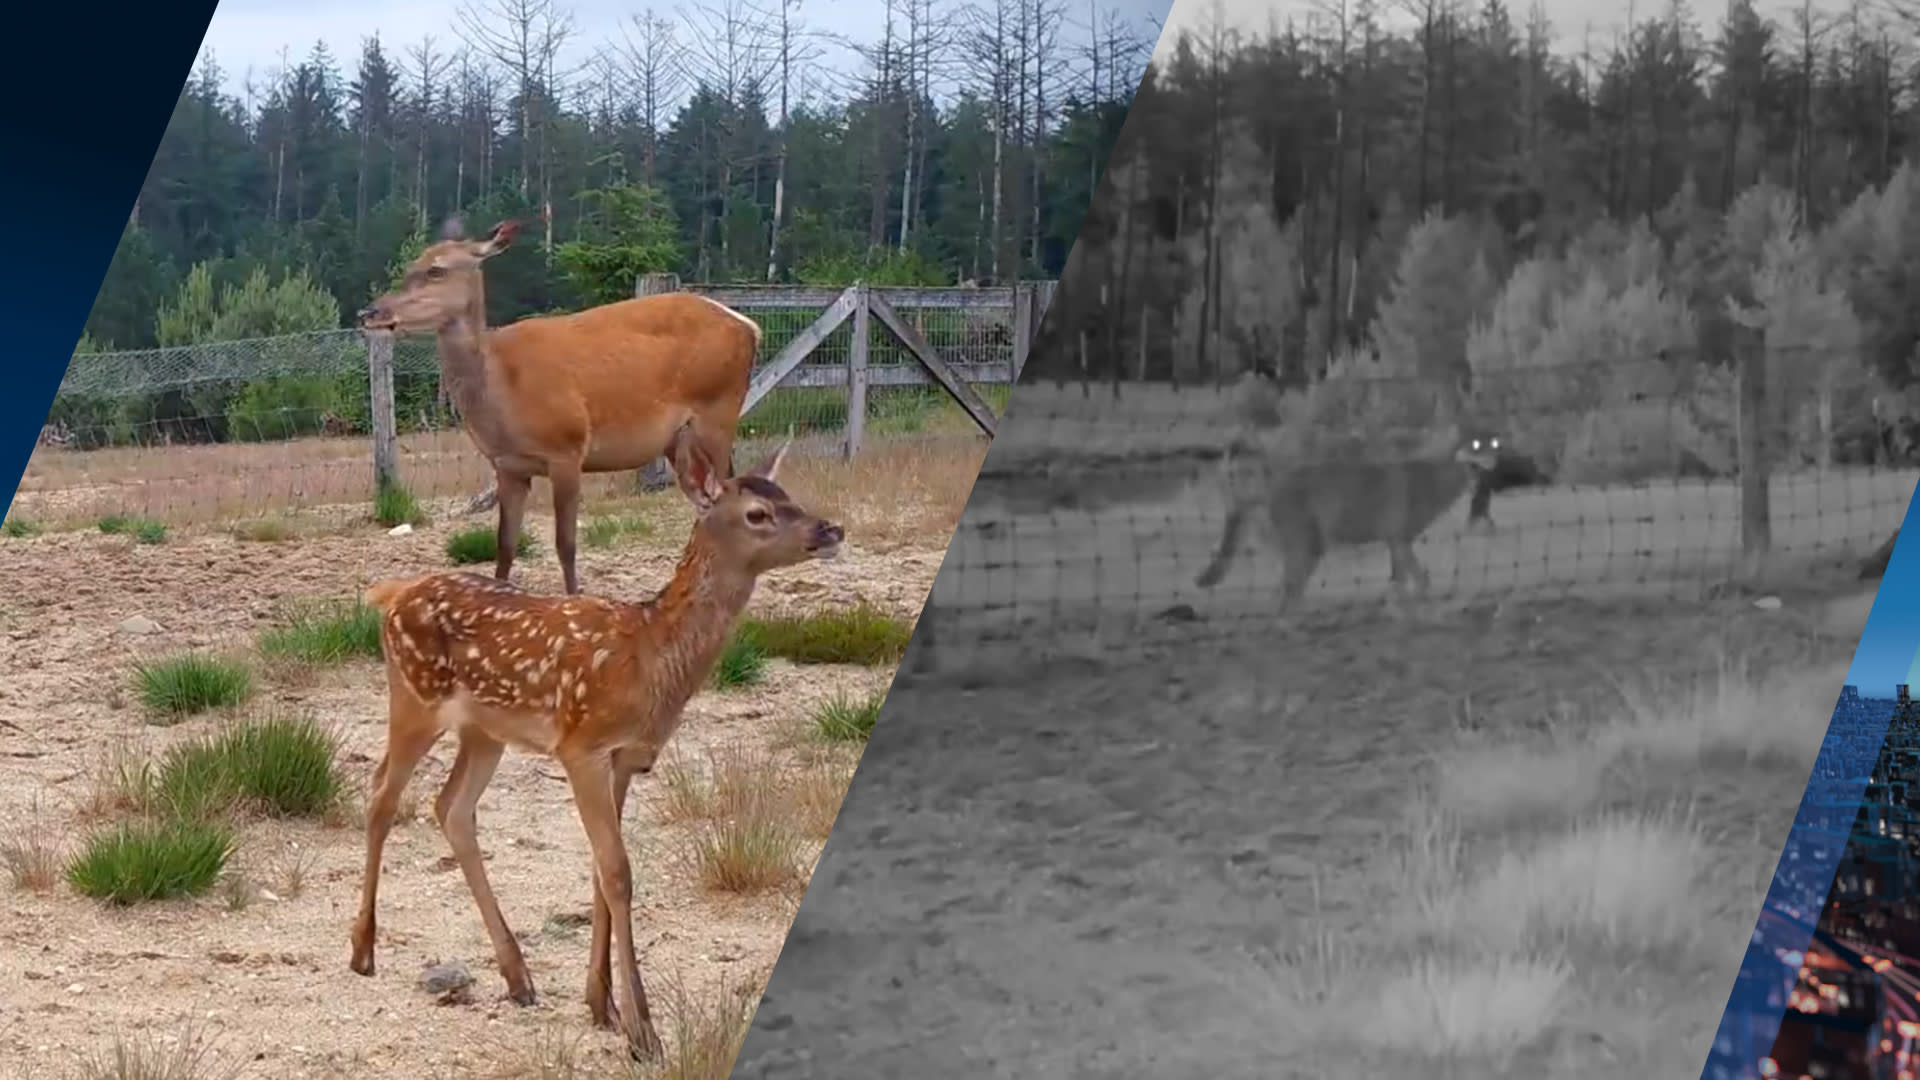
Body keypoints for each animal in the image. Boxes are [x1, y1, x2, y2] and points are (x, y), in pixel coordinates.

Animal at [349, 424, 844, 1053]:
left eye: (791, 496)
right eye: (758, 513)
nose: (831, 530)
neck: (650, 657)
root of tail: (391, 595)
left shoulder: (626, 757)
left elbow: (598, 869)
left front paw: (600, 1003)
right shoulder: (580, 745)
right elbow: (618, 872)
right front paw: (642, 1029)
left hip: (485, 729)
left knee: (451, 808)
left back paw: (517, 976)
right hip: (415, 696)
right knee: (382, 794)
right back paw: (363, 951)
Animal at [357, 215, 760, 591]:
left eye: (436, 270)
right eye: (410, 266)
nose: (369, 313)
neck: (502, 394)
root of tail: (749, 326)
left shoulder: (567, 448)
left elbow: (565, 544)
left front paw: (573, 599)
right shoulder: (507, 465)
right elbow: (505, 544)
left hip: (719, 408)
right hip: (679, 438)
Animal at [1190, 424, 1505, 599]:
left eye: (1493, 442)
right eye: (1475, 444)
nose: (1493, 460)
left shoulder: (1396, 542)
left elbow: (1403, 582)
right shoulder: (1399, 539)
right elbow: (1420, 581)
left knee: (1283, 592)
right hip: (1308, 549)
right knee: (1286, 593)